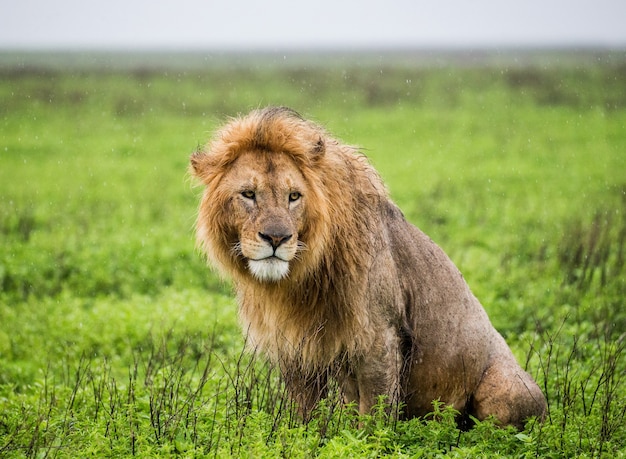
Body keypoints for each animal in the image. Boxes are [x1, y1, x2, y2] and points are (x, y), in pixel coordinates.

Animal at [190, 106, 544, 430]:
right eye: (248, 194)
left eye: (294, 196)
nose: (277, 238)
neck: (301, 278)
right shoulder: (295, 345)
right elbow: (305, 414)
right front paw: (299, 439)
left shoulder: (380, 338)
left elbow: (374, 417)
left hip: (505, 391)